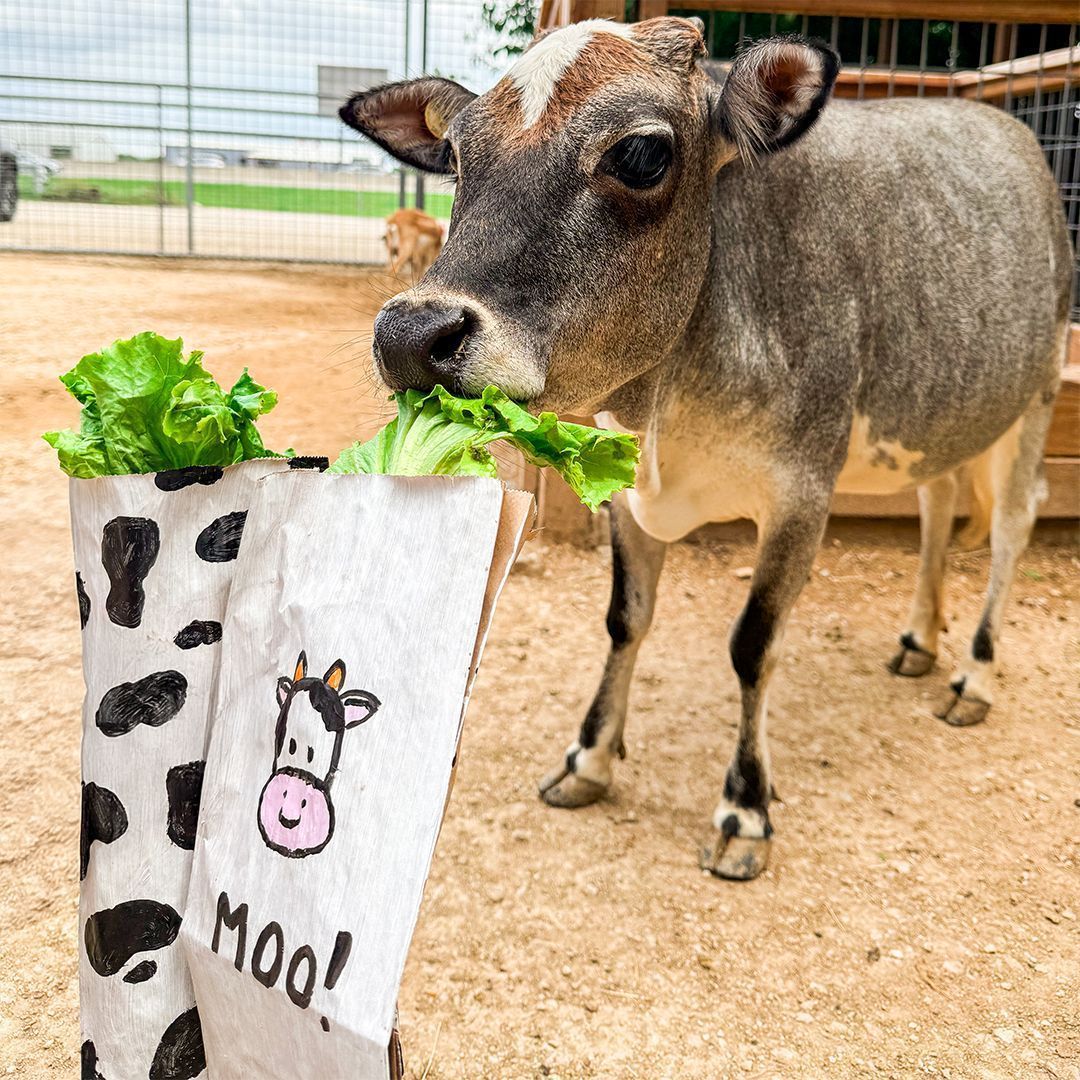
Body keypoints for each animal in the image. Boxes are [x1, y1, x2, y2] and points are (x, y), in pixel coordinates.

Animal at [337, 18, 1072, 880]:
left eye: (641, 155)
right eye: (454, 156)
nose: (411, 334)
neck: (670, 401)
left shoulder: (802, 494)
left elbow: (753, 646)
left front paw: (745, 809)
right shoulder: (625, 491)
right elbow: (625, 620)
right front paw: (589, 758)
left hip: (1035, 398)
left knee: (1013, 525)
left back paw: (973, 674)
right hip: (942, 417)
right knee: (938, 504)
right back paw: (921, 641)